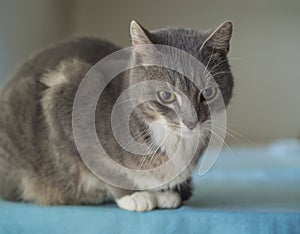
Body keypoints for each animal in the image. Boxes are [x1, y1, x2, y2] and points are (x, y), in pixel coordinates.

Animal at [0, 20, 233, 212]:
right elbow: (105, 167)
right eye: (166, 95)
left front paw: (166, 193)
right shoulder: (69, 109)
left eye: (208, 93)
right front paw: (133, 196)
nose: (191, 122)